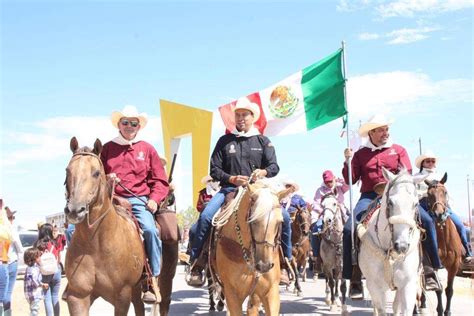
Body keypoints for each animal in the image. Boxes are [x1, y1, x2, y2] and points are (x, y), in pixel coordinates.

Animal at [360, 169, 426, 316]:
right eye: (390, 202)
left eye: (416, 204)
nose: (401, 246)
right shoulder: (374, 286)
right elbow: (380, 310)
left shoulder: (408, 285)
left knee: (396, 306)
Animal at [424, 173, 462, 316]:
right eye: (429, 194)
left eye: (444, 192)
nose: (439, 214)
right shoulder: (434, 264)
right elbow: (439, 289)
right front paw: (440, 310)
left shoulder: (454, 265)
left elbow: (449, 290)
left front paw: (448, 311)